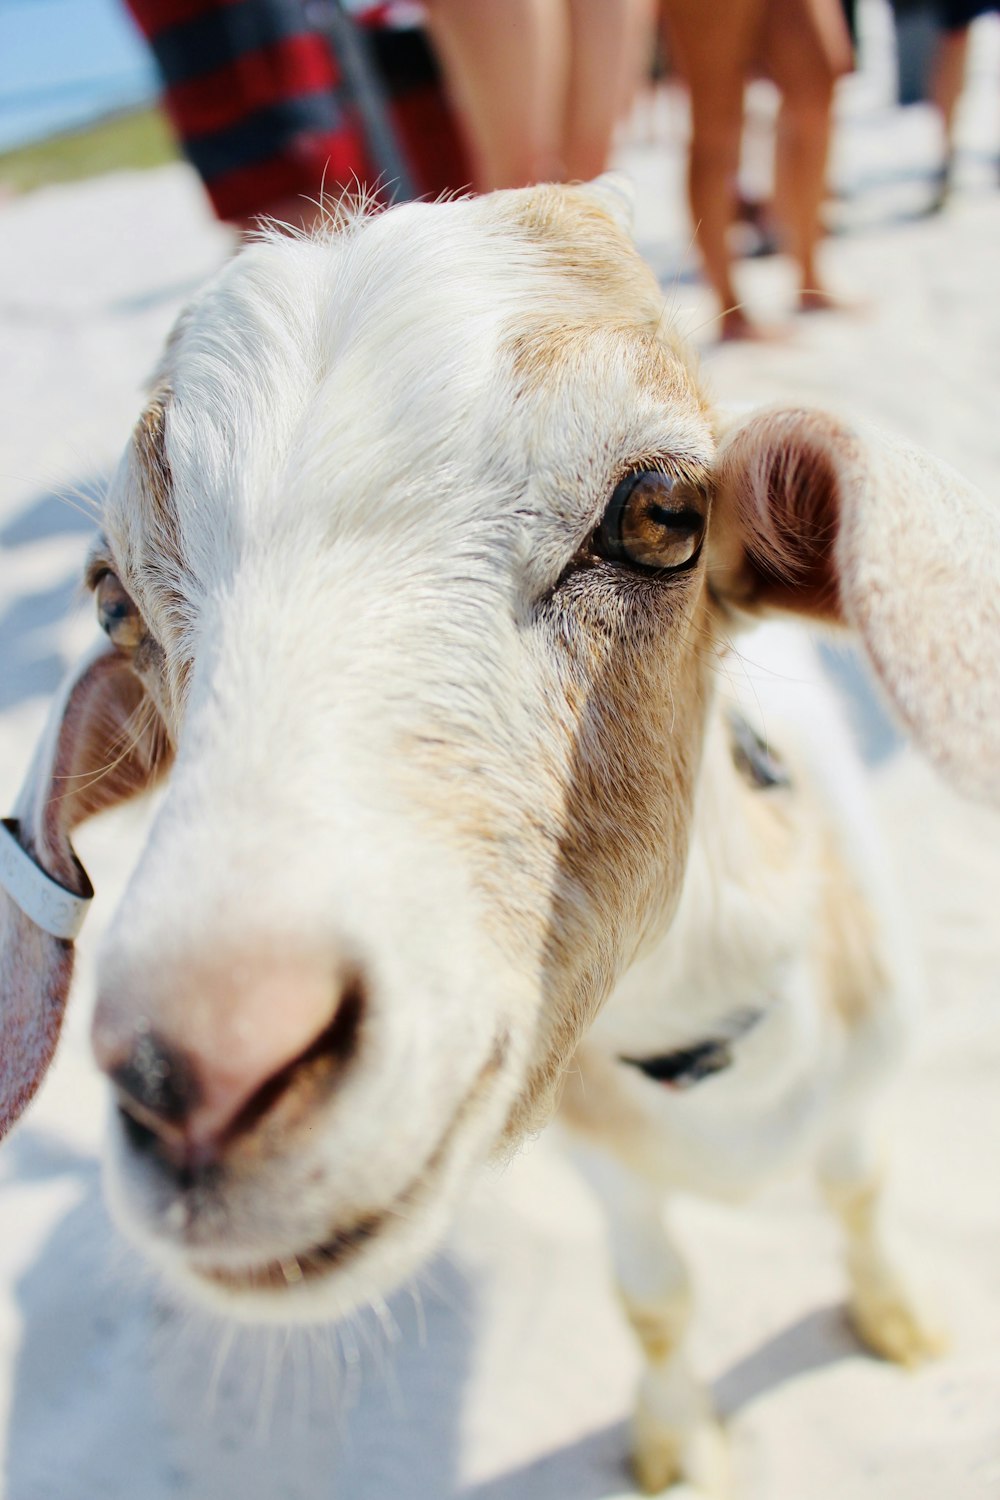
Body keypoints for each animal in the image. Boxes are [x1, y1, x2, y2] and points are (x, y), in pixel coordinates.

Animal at [1, 175, 1000, 1488]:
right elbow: (654, 1299)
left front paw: (896, 1320)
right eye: (114, 602)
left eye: (663, 515)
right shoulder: (603, 1164)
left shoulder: (861, 1090)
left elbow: (860, 1195)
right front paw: (678, 1447)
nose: (201, 1072)